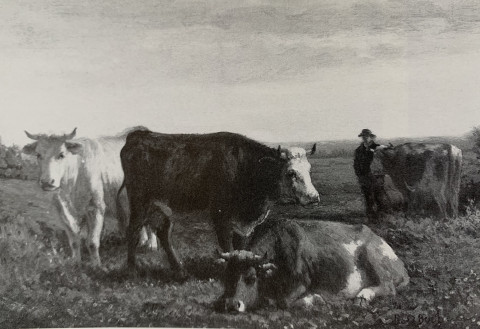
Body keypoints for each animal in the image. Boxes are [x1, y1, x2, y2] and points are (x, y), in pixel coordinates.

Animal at [23, 127, 156, 266]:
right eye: (38, 155)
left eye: (62, 154)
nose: (47, 182)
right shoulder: (62, 210)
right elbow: (74, 241)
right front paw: (75, 263)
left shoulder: (96, 207)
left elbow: (92, 242)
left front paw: (97, 266)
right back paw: (142, 241)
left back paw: (151, 245)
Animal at [118, 129, 320, 272]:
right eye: (291, 173)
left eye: (309, 169)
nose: (313, 197)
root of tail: (139, 135)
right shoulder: (220, 216)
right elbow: (227, 247)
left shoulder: (243, 223)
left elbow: (241, 247)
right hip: (139, 202)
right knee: (133, 231)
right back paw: (132, 270)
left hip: (163, 207)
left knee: (163, 234)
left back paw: (180, 270)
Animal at [217, 219, 408, 312]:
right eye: (227, 277)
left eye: (251, 278)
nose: (231, 305)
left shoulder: (301, 283)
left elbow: (286, 303)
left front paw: (315, 299)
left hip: (372, 255)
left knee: (388, 287)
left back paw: (363, 296)